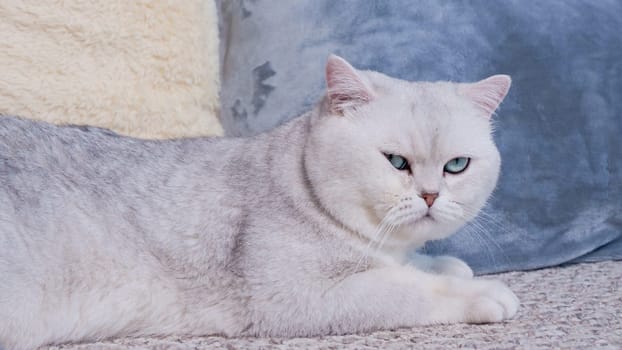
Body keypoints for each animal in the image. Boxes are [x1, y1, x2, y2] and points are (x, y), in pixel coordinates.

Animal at [0, 56, 516, 348]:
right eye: (396, 162)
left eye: (456, 166)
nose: (430, 195)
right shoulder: (296, 296)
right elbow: (405, 289)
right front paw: (481, 292)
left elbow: (409, 267)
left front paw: (444, 264)